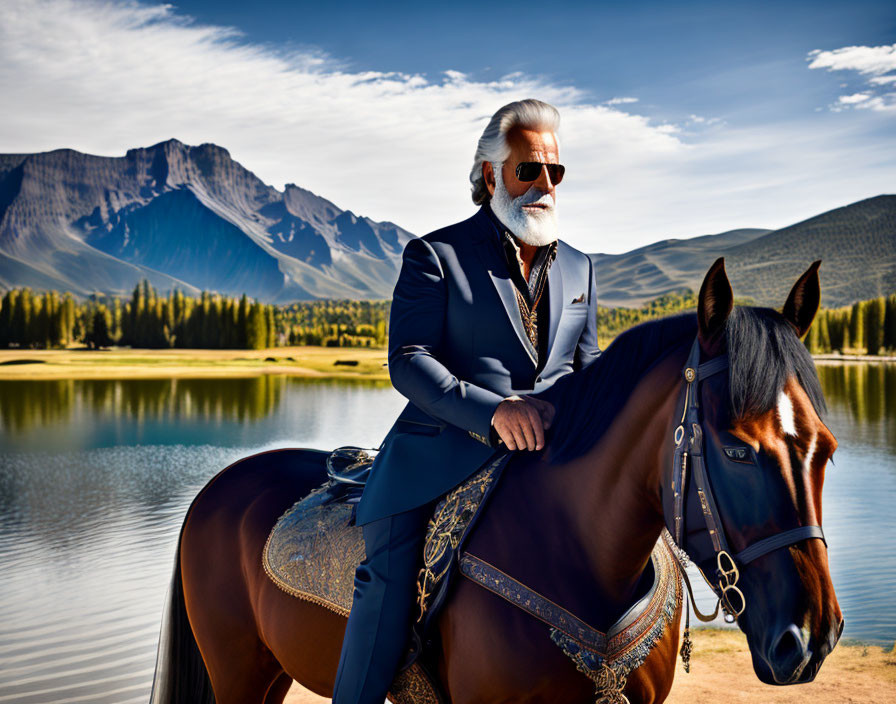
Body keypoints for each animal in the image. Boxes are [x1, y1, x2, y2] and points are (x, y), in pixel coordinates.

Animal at [150, 260, 844, 704]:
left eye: (829, 451)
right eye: (736, 450)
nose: (809, 640)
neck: (577, 556)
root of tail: (218, 485)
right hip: (237, 672)